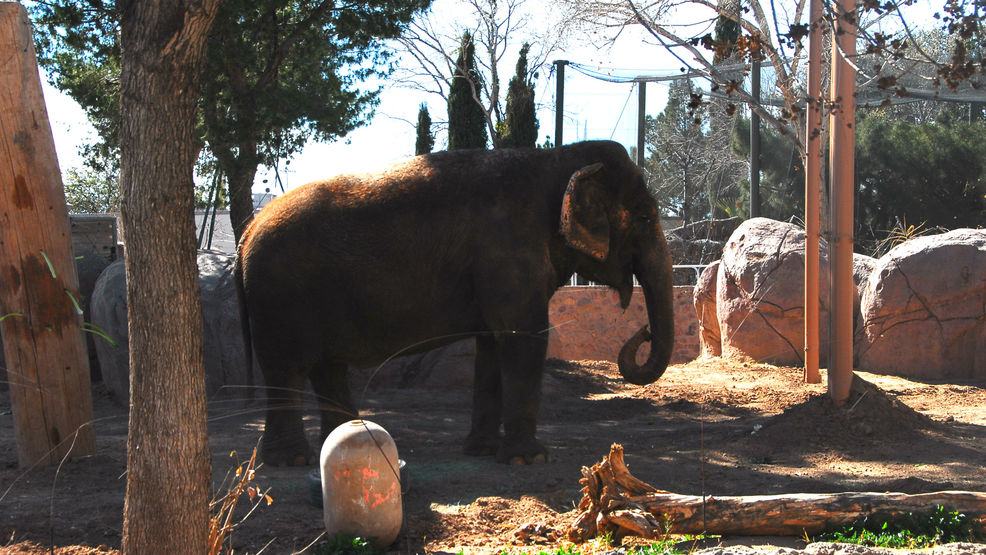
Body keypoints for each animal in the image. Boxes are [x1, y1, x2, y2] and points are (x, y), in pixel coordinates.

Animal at [234, 139, 672, 464]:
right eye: (645, 218)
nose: (644, 331)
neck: (556, 158)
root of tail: (248, 232)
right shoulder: (508, 248)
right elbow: (524, 337)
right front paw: (529, 459)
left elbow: (492, 343)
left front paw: (482, 452)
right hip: (281, 298)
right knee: (288, 368)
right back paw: (293, 460)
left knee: (326, 368)